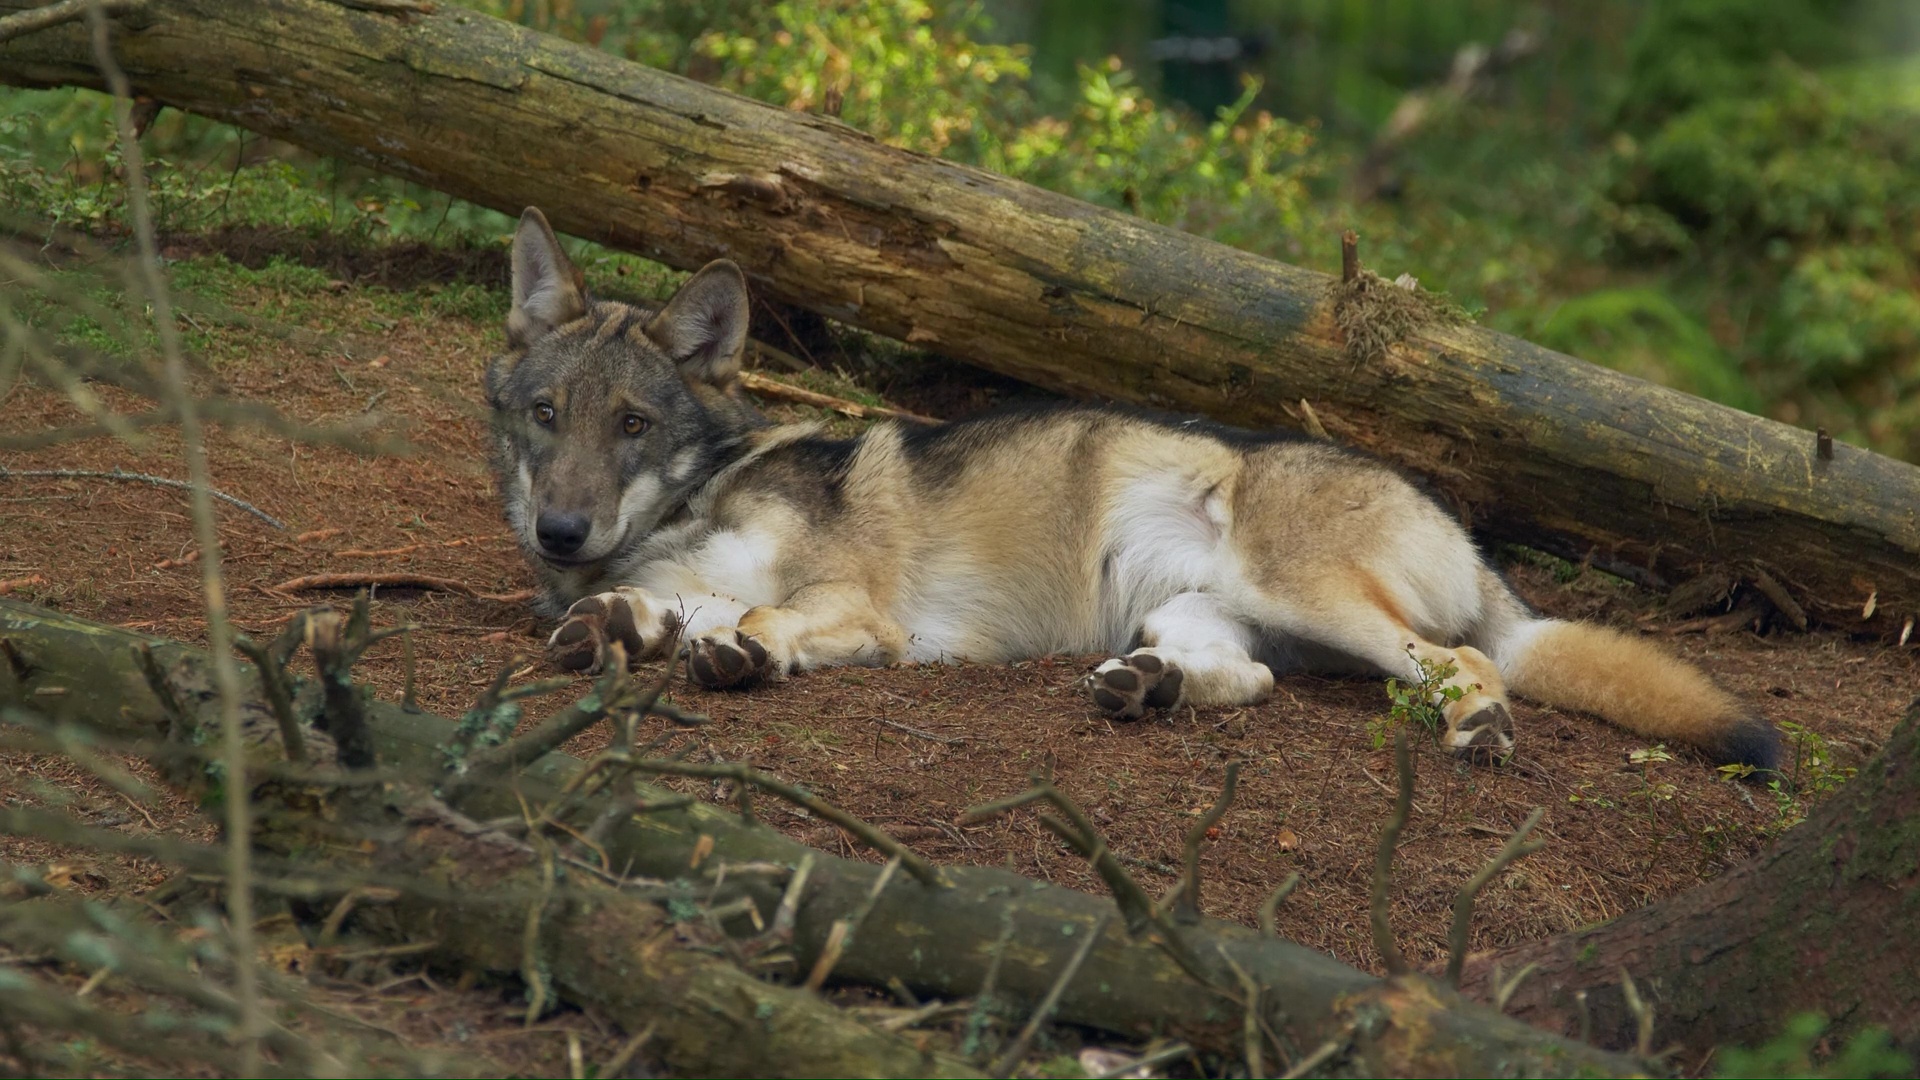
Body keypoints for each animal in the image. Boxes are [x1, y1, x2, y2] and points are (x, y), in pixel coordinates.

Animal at [486, 208, 1779, 769]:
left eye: (632, 424)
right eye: (546, 416)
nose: (560, 531)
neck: (689, 500)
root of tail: (1467, 535)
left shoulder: (859, 607)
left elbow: (758, 614)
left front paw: (738, 650)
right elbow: (655, 611)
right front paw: (617, 621)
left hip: (1322, 600)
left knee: (1461, 661)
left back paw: (1479, 724)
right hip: (1185, 612)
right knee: (1248, 681)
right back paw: (1149, 690)